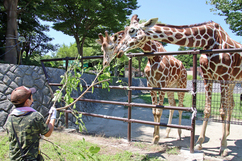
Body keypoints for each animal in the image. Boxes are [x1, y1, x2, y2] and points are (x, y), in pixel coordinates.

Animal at [96, 15, 187, 143]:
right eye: (101, 48)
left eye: (111, 46)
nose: (104, 63)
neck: (153, 57)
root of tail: (183, 67)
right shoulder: (151, 85)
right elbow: (154, 111)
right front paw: (154, 136)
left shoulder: (161, 84)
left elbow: (159, 111)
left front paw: (157, 138)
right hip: (171, 87)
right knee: (172, 105)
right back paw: (167, 133)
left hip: (181, 85)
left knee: (180, 107)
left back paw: (179, 134)